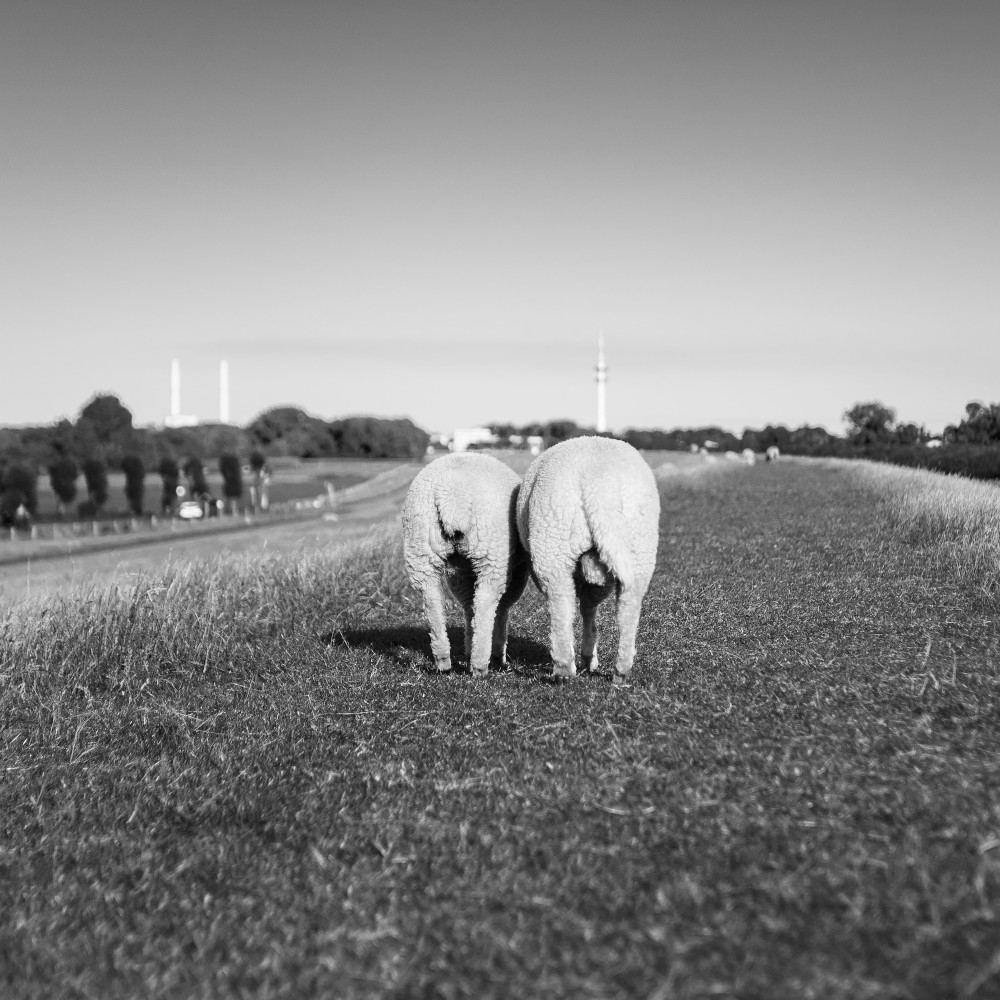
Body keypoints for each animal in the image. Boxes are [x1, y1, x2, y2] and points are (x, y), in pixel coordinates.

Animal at [402, 456, 536, 676]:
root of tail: (453, 498)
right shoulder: (517, 571)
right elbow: (502, 608)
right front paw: (497, 655)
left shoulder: (461, 570)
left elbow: (468, 605)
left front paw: (468, 651)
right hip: (491, 552)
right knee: (485, 602)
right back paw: (480, 664)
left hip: (420, 548)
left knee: (433, 599)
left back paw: (444, 661)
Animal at [516, 438, 664, 688]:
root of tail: (599, 487)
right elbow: (589, 608)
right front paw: (589, 657)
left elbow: (584, 608)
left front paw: (586, 658)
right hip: (638, 549)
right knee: (628, 610)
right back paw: (621, 672)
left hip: (552, 546)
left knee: (561, 608)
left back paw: (564, 669)